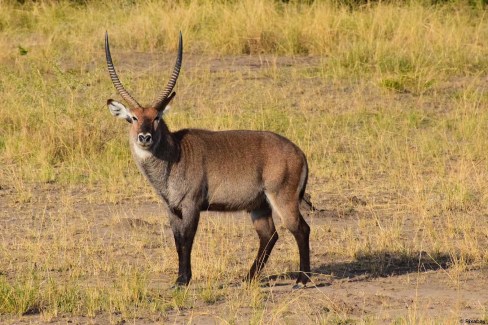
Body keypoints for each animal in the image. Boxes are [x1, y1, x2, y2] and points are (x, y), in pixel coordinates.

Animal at [104, 31, 312, 288]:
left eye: (157, 117)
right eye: (133, 118)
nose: (145, 137)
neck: (174, 153)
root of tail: (299, 152)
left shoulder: (191, 205)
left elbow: (187, 240)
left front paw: (183, 280)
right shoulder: (172, 209)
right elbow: (177, 241)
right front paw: (180, 278)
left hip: (283, 199)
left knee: (301, 229)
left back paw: (302, 279)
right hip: (259, 205)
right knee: (269, 235)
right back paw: (248, 278)